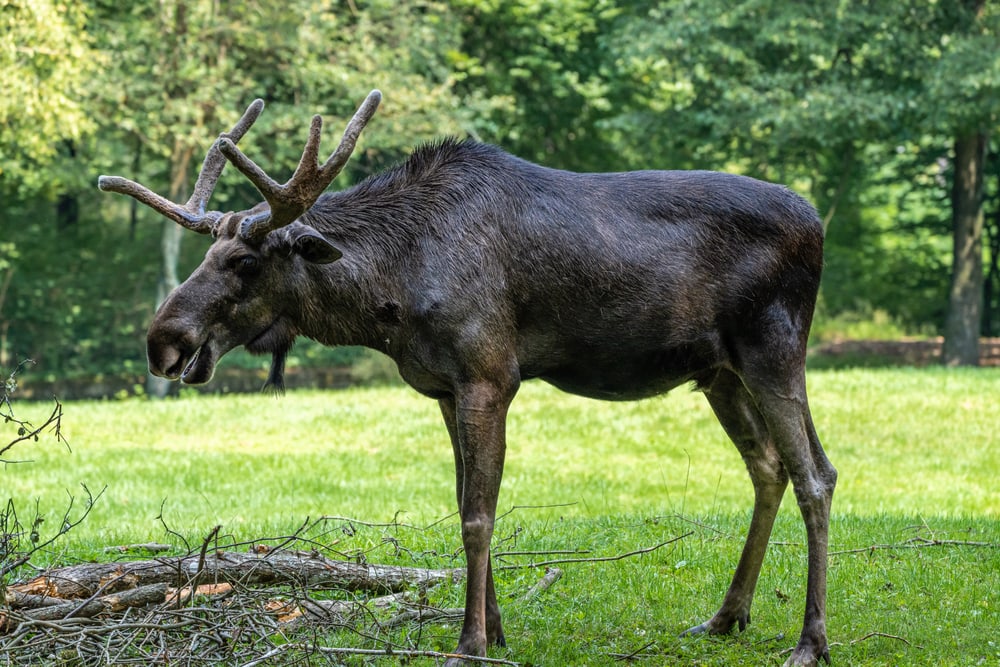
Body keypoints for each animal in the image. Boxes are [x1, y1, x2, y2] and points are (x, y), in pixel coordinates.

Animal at [98, 91, 836, 667]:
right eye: (208, 254)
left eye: (246, 262)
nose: (163, 342)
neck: (389, 293)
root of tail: (820, 223)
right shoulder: (443, 387)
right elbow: (462, 503)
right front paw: (496, 630)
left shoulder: (490, 375)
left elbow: (480, 514)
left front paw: (469, 642)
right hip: (718, 369)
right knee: (768, 465)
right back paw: (726, 616)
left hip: (774, 345)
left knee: (815, 474)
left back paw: (809, 641)